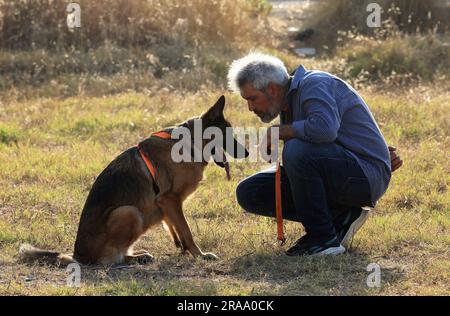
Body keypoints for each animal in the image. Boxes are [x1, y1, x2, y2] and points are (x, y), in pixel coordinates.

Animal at [19, 95, 248, 266]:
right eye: (228, 135)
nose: (246, 153)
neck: (189, 143)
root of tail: (79, 257)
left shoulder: (166, 204)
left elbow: (174, 227)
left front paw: (182, 249)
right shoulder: (170, 199)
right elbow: (186, 230)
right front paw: (199, 255)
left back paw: (139, 255)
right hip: (129, 212)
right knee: (110, 259)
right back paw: (133, 259)